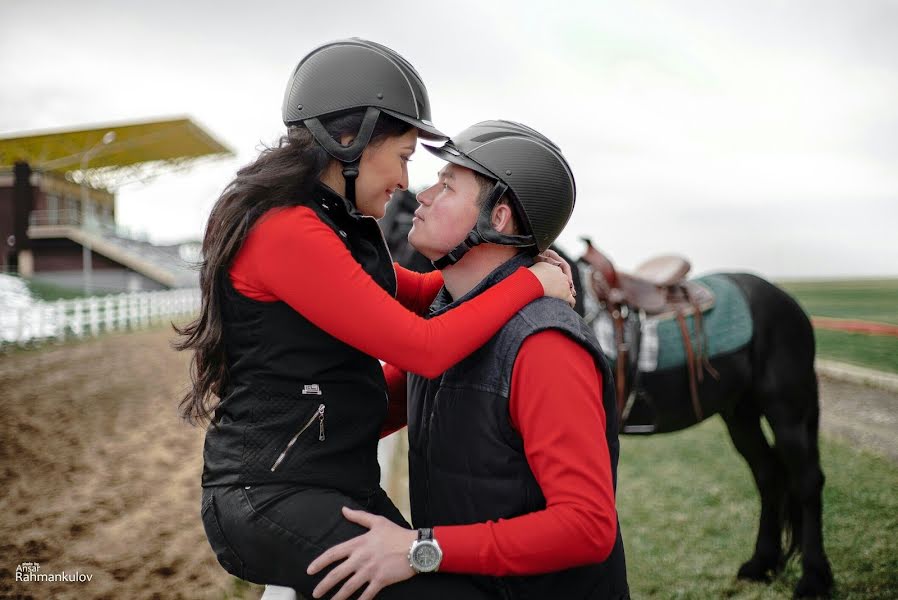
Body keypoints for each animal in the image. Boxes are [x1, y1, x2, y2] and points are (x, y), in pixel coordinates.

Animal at [378, 196, 832, 596]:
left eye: (400, 223)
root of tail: (784, 300)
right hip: (739, 411)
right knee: (768, 474)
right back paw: (761, 564)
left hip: (788, 410)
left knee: (805, 480)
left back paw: (814, 579)